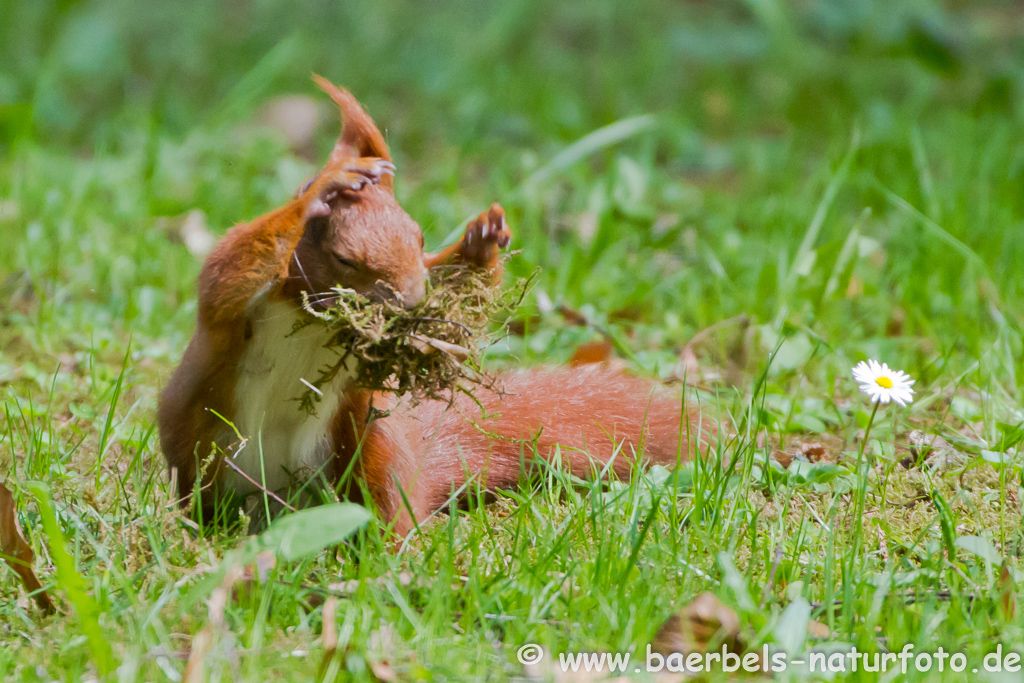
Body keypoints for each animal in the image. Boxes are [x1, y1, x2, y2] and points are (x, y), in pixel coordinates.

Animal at [157, 74, 712, 532]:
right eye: (343, 258)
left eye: (418, 235)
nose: (409, 300)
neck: (308, 317)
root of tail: (274, 502)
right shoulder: (231, 302)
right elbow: (233, 270)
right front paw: (324, 188)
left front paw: (483, 240)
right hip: (203, 445)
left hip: (366, 444)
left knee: (381, 503)